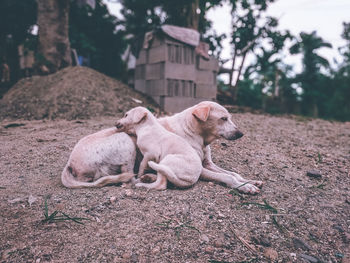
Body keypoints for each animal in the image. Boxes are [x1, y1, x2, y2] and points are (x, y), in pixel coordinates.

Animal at [61, 102, 262, 195]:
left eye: (230, 117)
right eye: (223, 119)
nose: (241, 134)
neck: (193, 131)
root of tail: (70, 163)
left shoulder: (208, 163)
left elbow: (233, 173)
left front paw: (250, 181)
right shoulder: (202, 168)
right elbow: (226, 177)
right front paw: (244, 186)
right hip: (126, 141)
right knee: (130, 177)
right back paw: (146, 178)